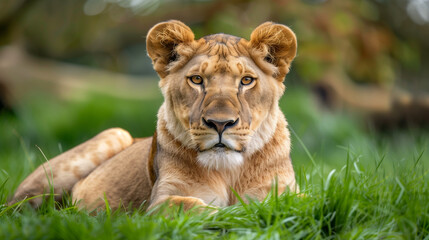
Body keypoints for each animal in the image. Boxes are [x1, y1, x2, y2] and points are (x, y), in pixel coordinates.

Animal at [10, 20, 298, 212]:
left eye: (247, 81)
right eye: (197, 80)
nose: (220, 123)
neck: (228, 172)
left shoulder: (285, 192)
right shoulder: (160, 202)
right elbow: (197, 207)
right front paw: (234, 213)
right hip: (115, 134)